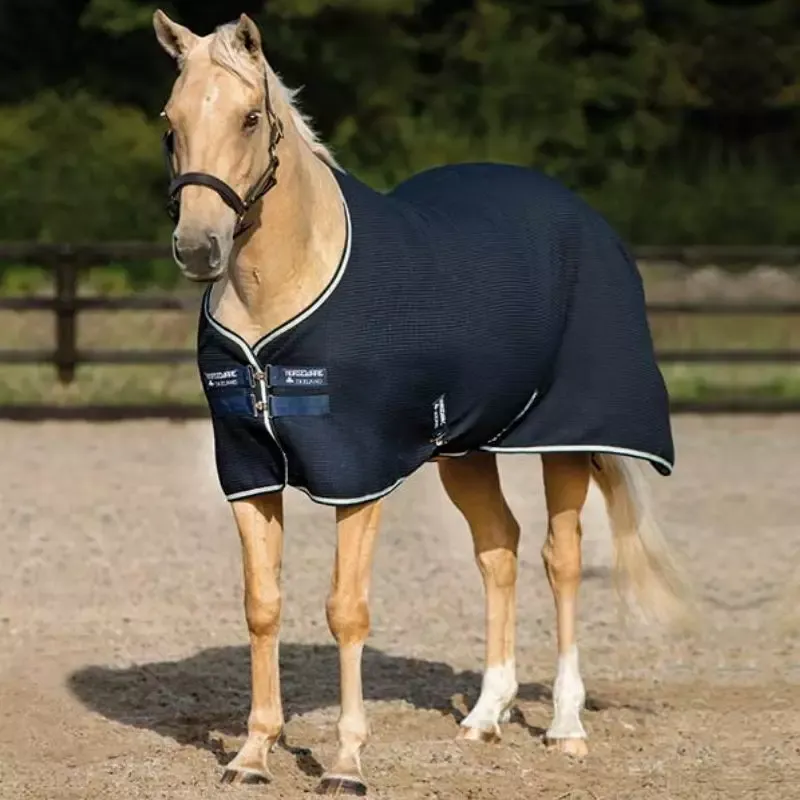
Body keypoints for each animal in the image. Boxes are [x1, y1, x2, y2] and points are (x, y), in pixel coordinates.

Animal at [152, 10, 692, 794]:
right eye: (171, 123)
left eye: (251, 117)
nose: (199, 247)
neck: (282, 289)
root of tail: (581, 216)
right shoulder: (249, 471)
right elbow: (262, 606)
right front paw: (252, 755)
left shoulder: (356, 473)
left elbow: (345, 610)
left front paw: (346, 762)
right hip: (464, 450)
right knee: (499, 549)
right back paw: (486, 717)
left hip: (564, 441)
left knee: (560, 559)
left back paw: (565, 726)